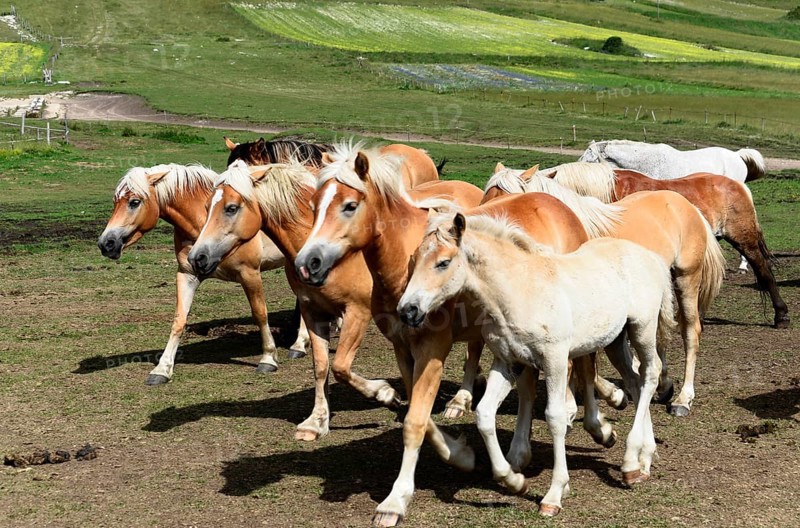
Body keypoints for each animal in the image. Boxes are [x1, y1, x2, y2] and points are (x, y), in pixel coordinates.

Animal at [96, 163, 310, 383]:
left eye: (134, 202)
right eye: (115, 202)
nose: (106, 243)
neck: (202, 224)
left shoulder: (249, 273)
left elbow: (260, 314)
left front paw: (268, 358)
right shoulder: (187, 275)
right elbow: (179, 320)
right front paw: (162, 369)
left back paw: (299, 345)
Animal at [186, 159, 481, 443]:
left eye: (231, 208)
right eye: (207, 206)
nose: (196, 257)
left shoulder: (357, 312)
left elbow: (340, 366)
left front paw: (385, 393)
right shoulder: (313, 311)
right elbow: (321, 367)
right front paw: (316, 422)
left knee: (473, 350)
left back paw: (459, 402)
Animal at [293, 142, 608, 527]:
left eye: (349, 205)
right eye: (313, 205)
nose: (307, 263)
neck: (405, 264)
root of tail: (561, 206)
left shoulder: (432, 349)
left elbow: (414, 422)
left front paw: (395, 500)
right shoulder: (403, 349)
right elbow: (415, 412)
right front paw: (460, 453)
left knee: (585, 366)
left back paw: (597, 425)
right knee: (529, 387)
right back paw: (518, 455)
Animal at [398, 212, 676, 516]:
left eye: (443, 262)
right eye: (415, 258)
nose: (407, 310)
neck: (520, 291)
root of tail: (651, 257)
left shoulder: (555, 359)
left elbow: (555, 417)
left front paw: (554, 494)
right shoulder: (507, 362)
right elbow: (484, 414)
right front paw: (513, 480)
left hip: (642, 329)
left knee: (650, 374)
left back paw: (629, 463)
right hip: (615, 340)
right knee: (635, 383)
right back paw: (644, 459)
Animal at [484, 165, 726, 417]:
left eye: (511, 200)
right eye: (486, 196)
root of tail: (687, 205)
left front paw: (580, 402)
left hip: (686, 279)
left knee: (690, 331)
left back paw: (683, 399)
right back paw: (663, 385)